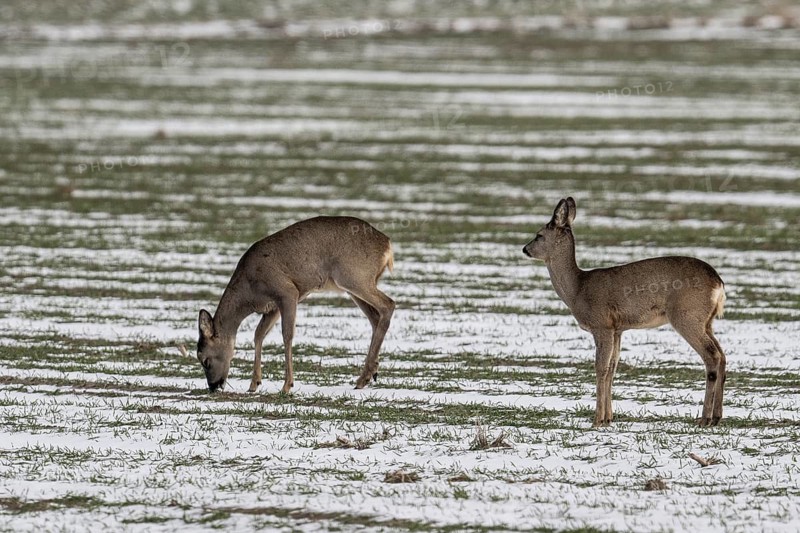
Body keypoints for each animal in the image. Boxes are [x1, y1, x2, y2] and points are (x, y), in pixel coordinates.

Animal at [193, 216, 395, 394]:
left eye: (205, 360)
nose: (213, 386)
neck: (249, 294)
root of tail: (387, 245)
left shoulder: (287, 291)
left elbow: (287, 335)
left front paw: (287, 385)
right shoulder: (272, 307)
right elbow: (258, 334)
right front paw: (254, 384)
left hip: (354, 276)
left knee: (388, 305)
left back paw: (363, 378)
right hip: (353, 284)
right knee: (375, 317)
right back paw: (369, 374)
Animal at [522, 197, 727, 427]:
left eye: (539, 234)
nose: (525, 249)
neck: (578, 290)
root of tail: (718, 283)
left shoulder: (601, 324)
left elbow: (600, 368)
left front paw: (597, 420)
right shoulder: (617, 329)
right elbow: (612, 369)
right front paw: (608, 418)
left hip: (686, 315)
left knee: (712, 355)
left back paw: (705, 418)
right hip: (707, 321)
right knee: (722, 355)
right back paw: (717, 417)